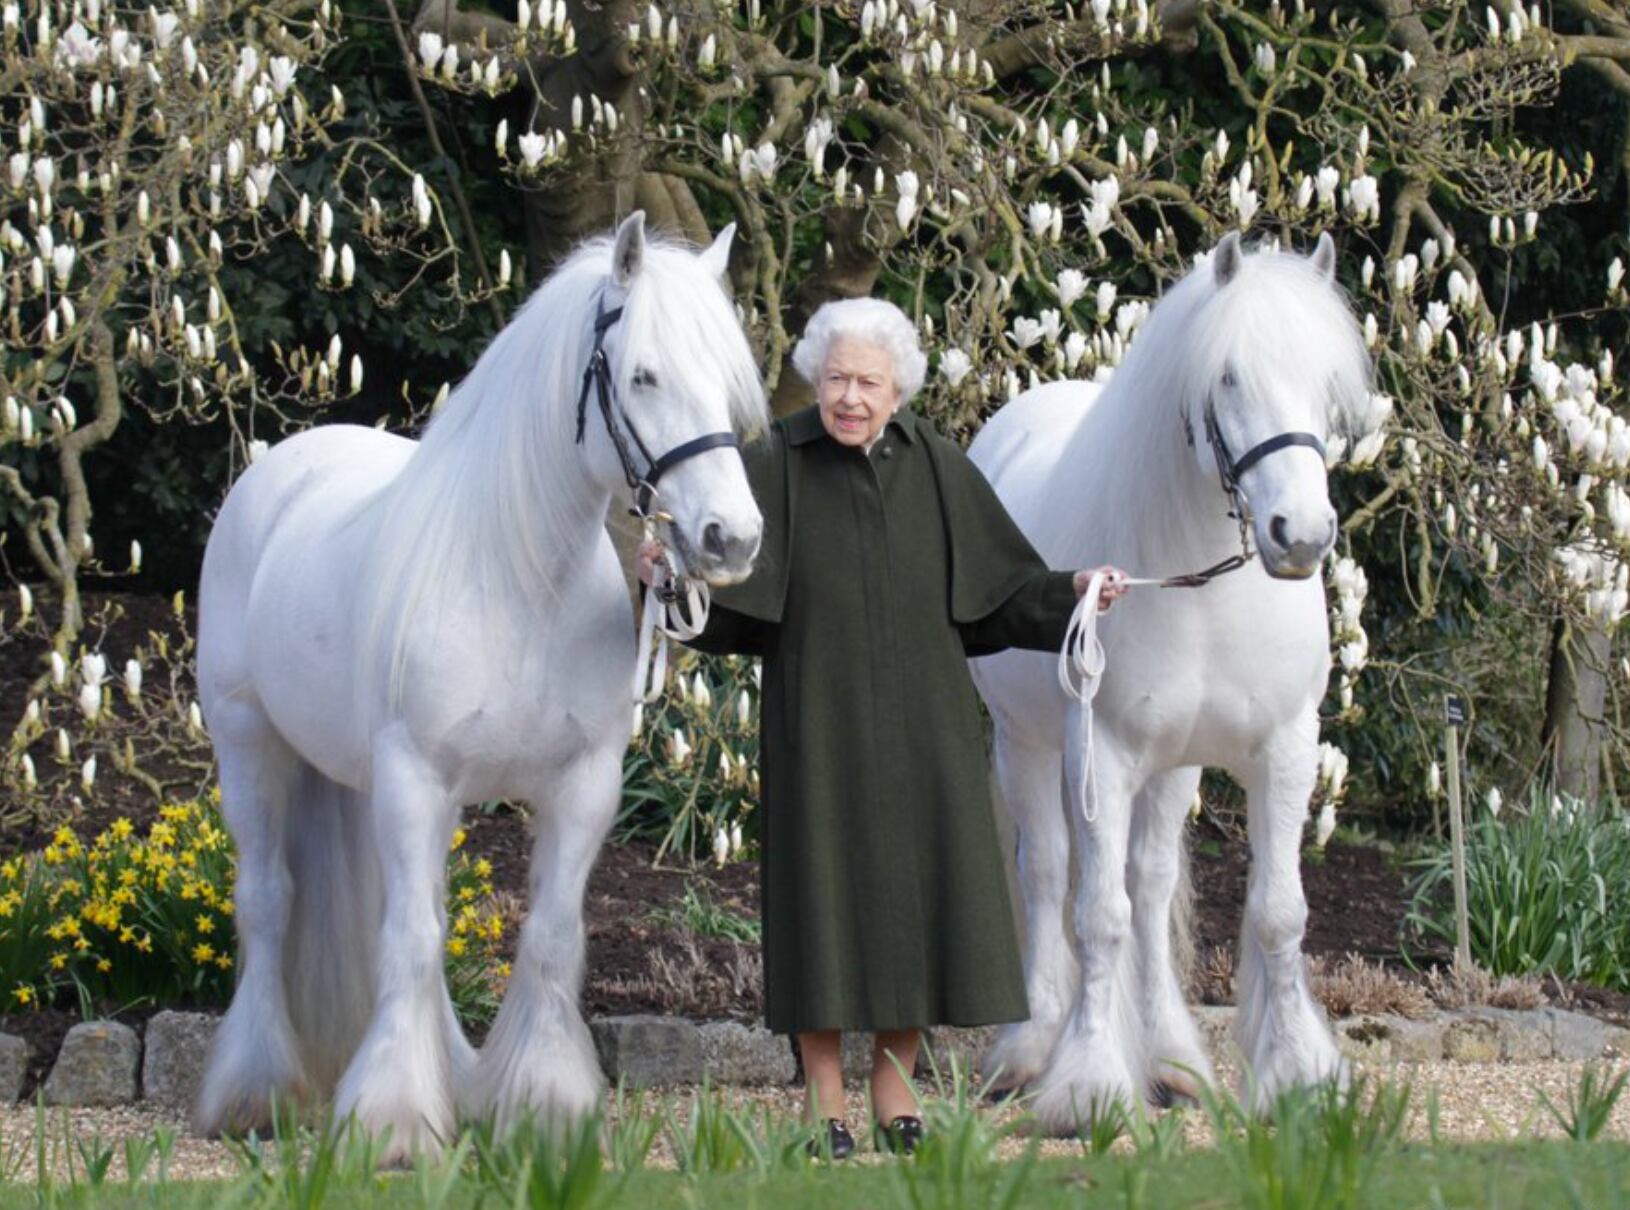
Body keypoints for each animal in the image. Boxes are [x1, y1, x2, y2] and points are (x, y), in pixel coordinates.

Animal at [193, 213, 766, 1161]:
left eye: (726, 383)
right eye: (643, 375)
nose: (733, 538)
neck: (518, 581)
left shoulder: (581, 787)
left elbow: (547, 937)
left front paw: (543, 1107)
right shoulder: (416, 777)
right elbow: (411, 940)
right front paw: (391, 1123)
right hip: (251, 747)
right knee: (270, 903)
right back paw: (254, 1092)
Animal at [964, 231, 1375, 1134]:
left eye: (1327, 382)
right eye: (1228, 377)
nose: (1301, 535)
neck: (1202, 586)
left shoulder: (1284, 750)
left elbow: (1276, 913)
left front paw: (1297, 1075)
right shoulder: (1103, 755)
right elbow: (1097, 915)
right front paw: (1087, 1086)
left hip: (1174, 766)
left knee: (1149, 889)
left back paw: (1173, 1061)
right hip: (1027, 745)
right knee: (1050, 874)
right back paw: (1031, 1048)